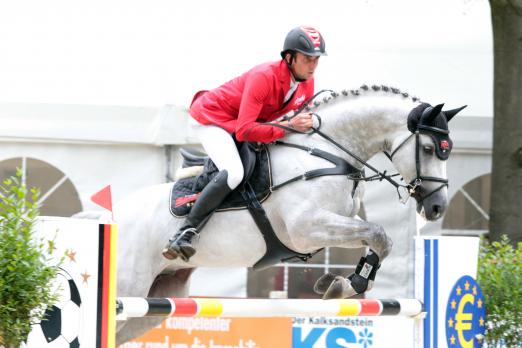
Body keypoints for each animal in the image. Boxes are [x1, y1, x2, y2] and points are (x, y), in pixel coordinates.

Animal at [102, 84, 464, 342]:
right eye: (429, 149)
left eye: (448, 151)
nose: (437, 208)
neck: (328, 153)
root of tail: (110, 218)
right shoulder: (306, 230)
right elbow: (379, 234)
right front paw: (347, 284)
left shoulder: (340, 221)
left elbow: (378, 239)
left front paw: (340, 283)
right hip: (129, 287)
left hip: (157, 300)